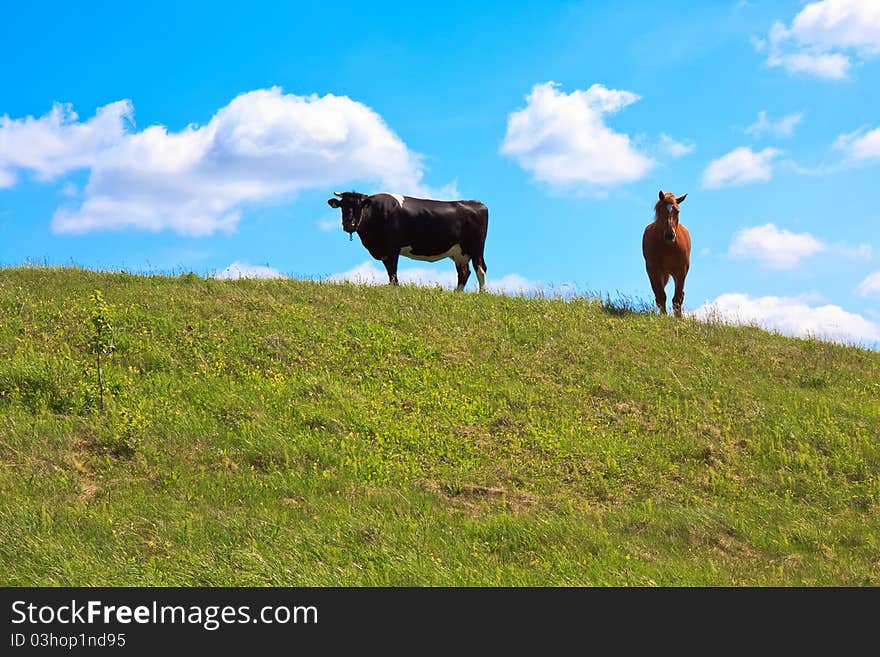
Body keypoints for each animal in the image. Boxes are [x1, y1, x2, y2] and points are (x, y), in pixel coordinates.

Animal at [330, 191, 492, 290]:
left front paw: (395, 288)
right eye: (343, 206)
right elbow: (389, 271)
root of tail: (477, 203)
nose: (349, 224)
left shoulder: (392, 248)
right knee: (464, 272)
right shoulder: (384, 251)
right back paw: (456, 294)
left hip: (477, 246)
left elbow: (393, 272)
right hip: (458, 252)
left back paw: (482, 293)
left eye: (359, 207)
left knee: (480, 268)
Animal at [644, 190, 692, 318]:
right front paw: (664, 317)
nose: (670, 235)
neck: (668, 246)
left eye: (677, 211)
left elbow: (677, 298)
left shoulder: (681, 270)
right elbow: (661, 296)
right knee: (658, 294)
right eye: (661, 210)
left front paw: (678, 319)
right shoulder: (655, 270)